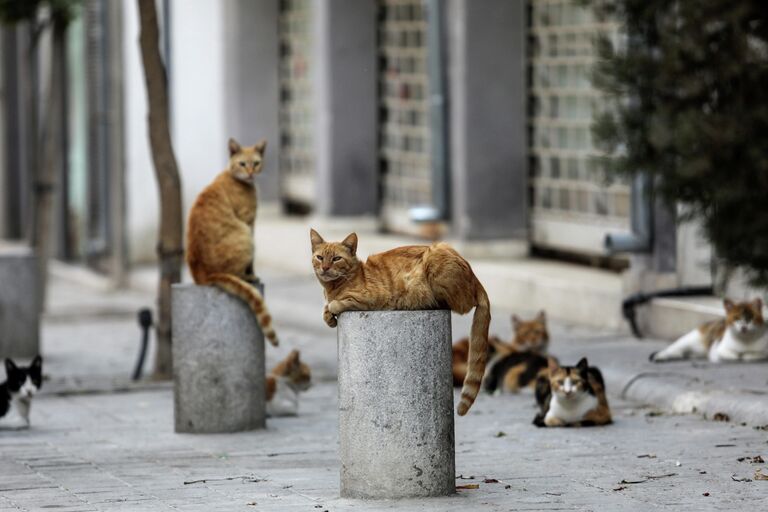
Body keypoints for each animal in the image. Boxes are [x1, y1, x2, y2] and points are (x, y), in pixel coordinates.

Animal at [186, 137, 280, 344]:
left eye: (256, 163)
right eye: (242, 164)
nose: (250, 172)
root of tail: (203, 275)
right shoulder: (249, 223)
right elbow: (252, 262)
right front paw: (252, 274)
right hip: (244, 234)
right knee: (237, 272)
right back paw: (247, 277)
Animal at [308, 230, 488, 414]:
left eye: (336, 258)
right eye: (320, 257)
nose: (325, 268)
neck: (333, 288)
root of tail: (477, 282)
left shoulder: (371, 298)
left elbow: (337, 303)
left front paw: (333, 309)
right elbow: (326, 309)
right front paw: (328, 316)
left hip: (435, 258)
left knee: (453, 305)